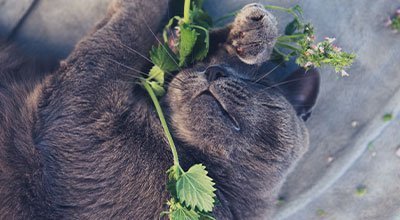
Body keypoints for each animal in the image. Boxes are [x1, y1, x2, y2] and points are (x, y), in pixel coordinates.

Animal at [0, 0, 318, 219]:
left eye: (259, 85)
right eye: (201, 64)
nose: (213, 71)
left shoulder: (81, 108)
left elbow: (123, 35)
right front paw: (246, 35)